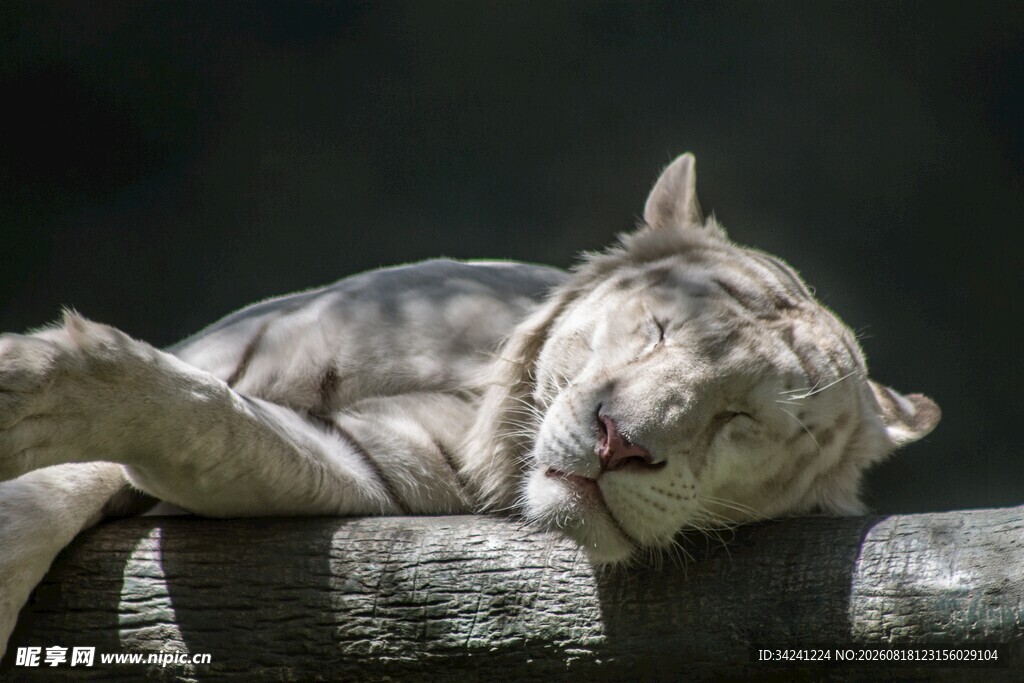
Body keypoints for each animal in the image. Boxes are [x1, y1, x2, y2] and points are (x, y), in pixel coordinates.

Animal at [0, 153, 939, 656]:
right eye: (660, 329)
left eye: (747, 420)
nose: (619, 442)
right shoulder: (233, 347)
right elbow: (75, 471)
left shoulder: (368, 467)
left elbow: (209, 423)